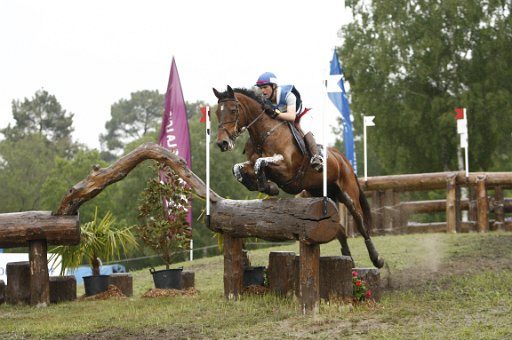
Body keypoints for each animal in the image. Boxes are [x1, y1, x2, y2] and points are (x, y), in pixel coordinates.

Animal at [212, 85, 384, 268]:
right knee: (339, 230)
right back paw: (347, 260)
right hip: (322, 194)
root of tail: (342, 158)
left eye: (233, 110)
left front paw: (267, 186)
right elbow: (238, 168)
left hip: (348, 193)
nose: (222, 143)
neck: (264, 134)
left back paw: (377, 259)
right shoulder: (252, 164)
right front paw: (265, 186)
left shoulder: (286, 168)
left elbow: (260, 162)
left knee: (360, 223)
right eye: (216, 113)